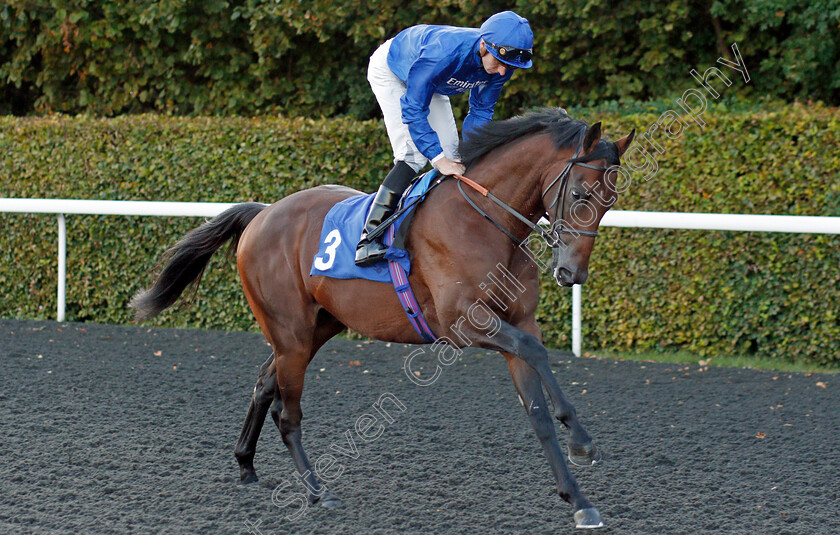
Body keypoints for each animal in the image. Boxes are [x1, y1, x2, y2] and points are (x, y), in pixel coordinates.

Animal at [133, 110, 632, 532]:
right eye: (581, 194)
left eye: (611, 201)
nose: (571, 273)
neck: (484, 222)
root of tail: (263, 213)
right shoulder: (464, 324)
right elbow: (537, 354)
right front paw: (582, 439)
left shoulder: (519, 321)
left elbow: (537, 412)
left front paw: (579, 499)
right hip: (291, 333)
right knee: (287, 413)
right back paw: (318, 492)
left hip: (317, 327)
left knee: (263, 381)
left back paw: (245, 464)